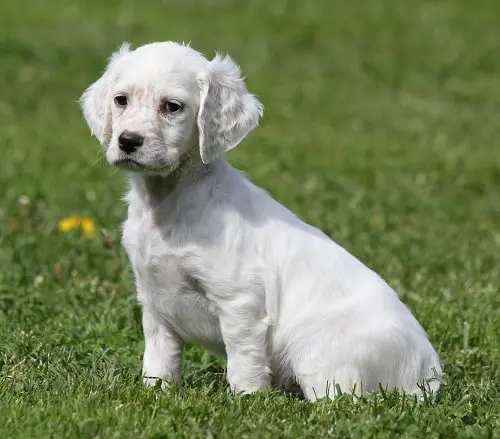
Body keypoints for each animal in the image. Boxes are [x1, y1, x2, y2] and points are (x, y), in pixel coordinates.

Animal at [80, 41, 441, 400]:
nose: (128, 141)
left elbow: (244, 362)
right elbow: (160, 359)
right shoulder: (154, 301)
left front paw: (247, 401)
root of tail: (428, 371)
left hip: (319, 351)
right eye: (121, 100)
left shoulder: (240, 301)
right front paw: (156, 392)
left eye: (172, 107)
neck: (169, 202)